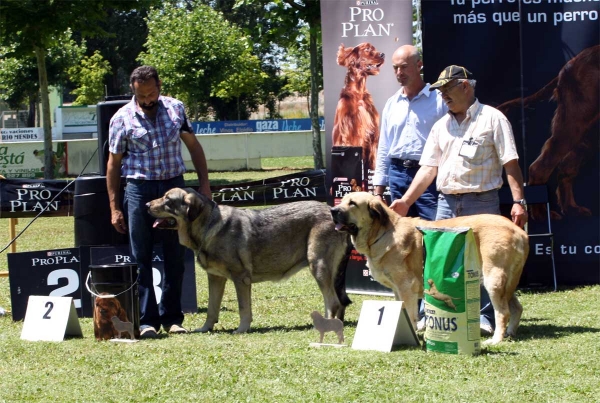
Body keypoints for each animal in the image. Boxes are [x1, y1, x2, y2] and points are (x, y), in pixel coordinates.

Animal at [146, 189, 352, 334]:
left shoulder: (241, 278)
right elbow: (212, 309)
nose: (146, 204)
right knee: (337, 302)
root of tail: (333, 213)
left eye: (167, 200)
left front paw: (241, 329)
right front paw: (205, 329)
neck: (207, 227)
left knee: (332, 302)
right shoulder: (215, 278)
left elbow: (243, 308)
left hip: (318, 266)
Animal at [332, 194, 528, 346]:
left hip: (493, 279)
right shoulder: (396, 289)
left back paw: (496, 339)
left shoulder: (406, 287)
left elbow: (410, 313)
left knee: (503, 312)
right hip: (506, 282)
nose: (333, 210)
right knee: (517, 307)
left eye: (352, 203)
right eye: (343, 200)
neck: (381, 232)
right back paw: (510, 333)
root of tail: (519, 231)